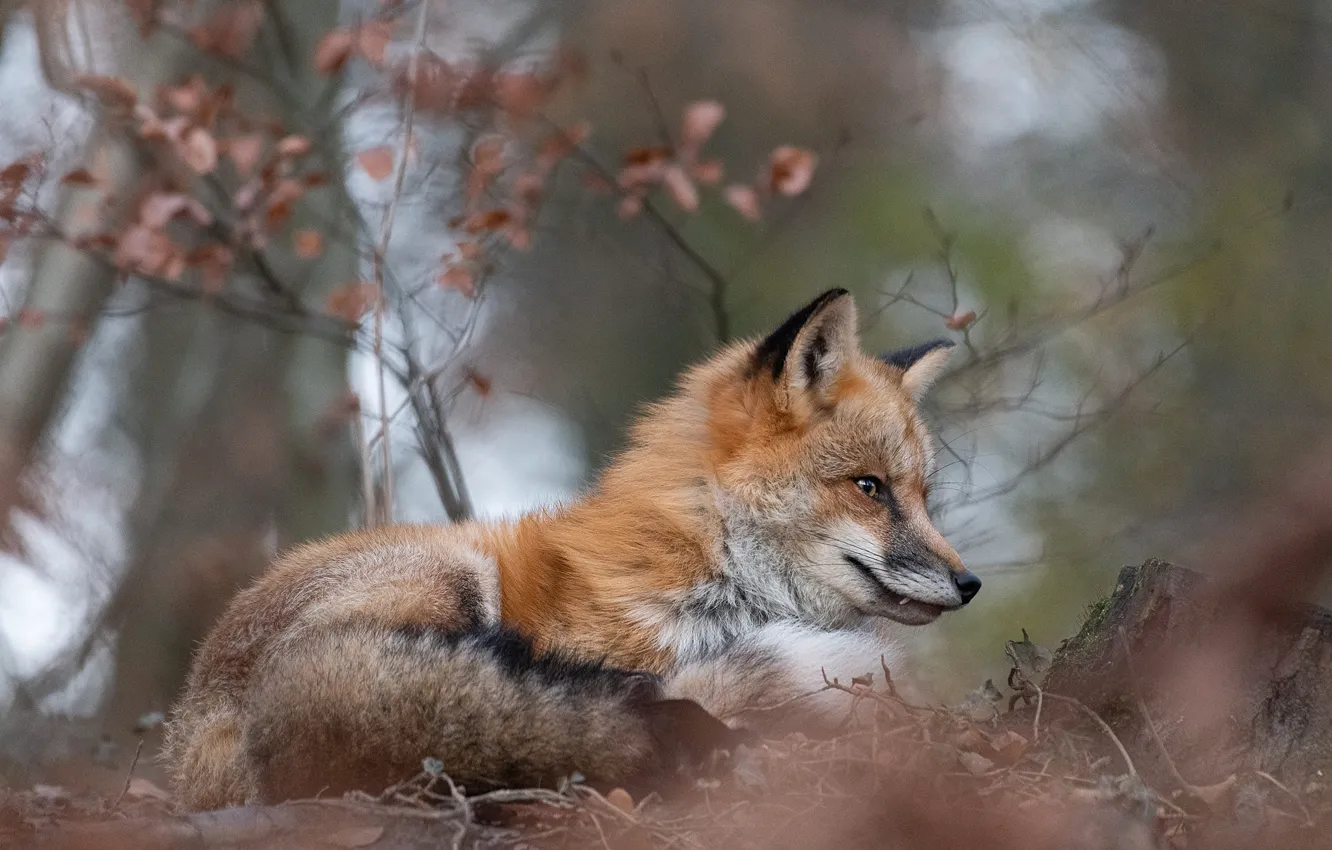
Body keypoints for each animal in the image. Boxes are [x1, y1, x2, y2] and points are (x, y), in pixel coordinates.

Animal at [162, 288, 981, 810]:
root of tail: (191, 738)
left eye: (923, 494)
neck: (712, 579)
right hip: (450, 575)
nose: (969, 583)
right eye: (870, 487)